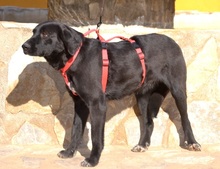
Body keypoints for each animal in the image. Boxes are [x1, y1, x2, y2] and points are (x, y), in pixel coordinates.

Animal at [22, 20, 201, 166]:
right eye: (33, 32)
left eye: (45, 34)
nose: (24, 46)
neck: (76, 56)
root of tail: (172, 40)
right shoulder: (80, 104)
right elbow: (75, 131)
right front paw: (70, 152)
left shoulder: (97, 104)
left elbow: (96, 137)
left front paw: (93, 160)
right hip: (142, 96)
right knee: (148, 122)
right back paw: (142, 145)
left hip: (178, 90)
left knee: (185, 119)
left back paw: (192, 143)